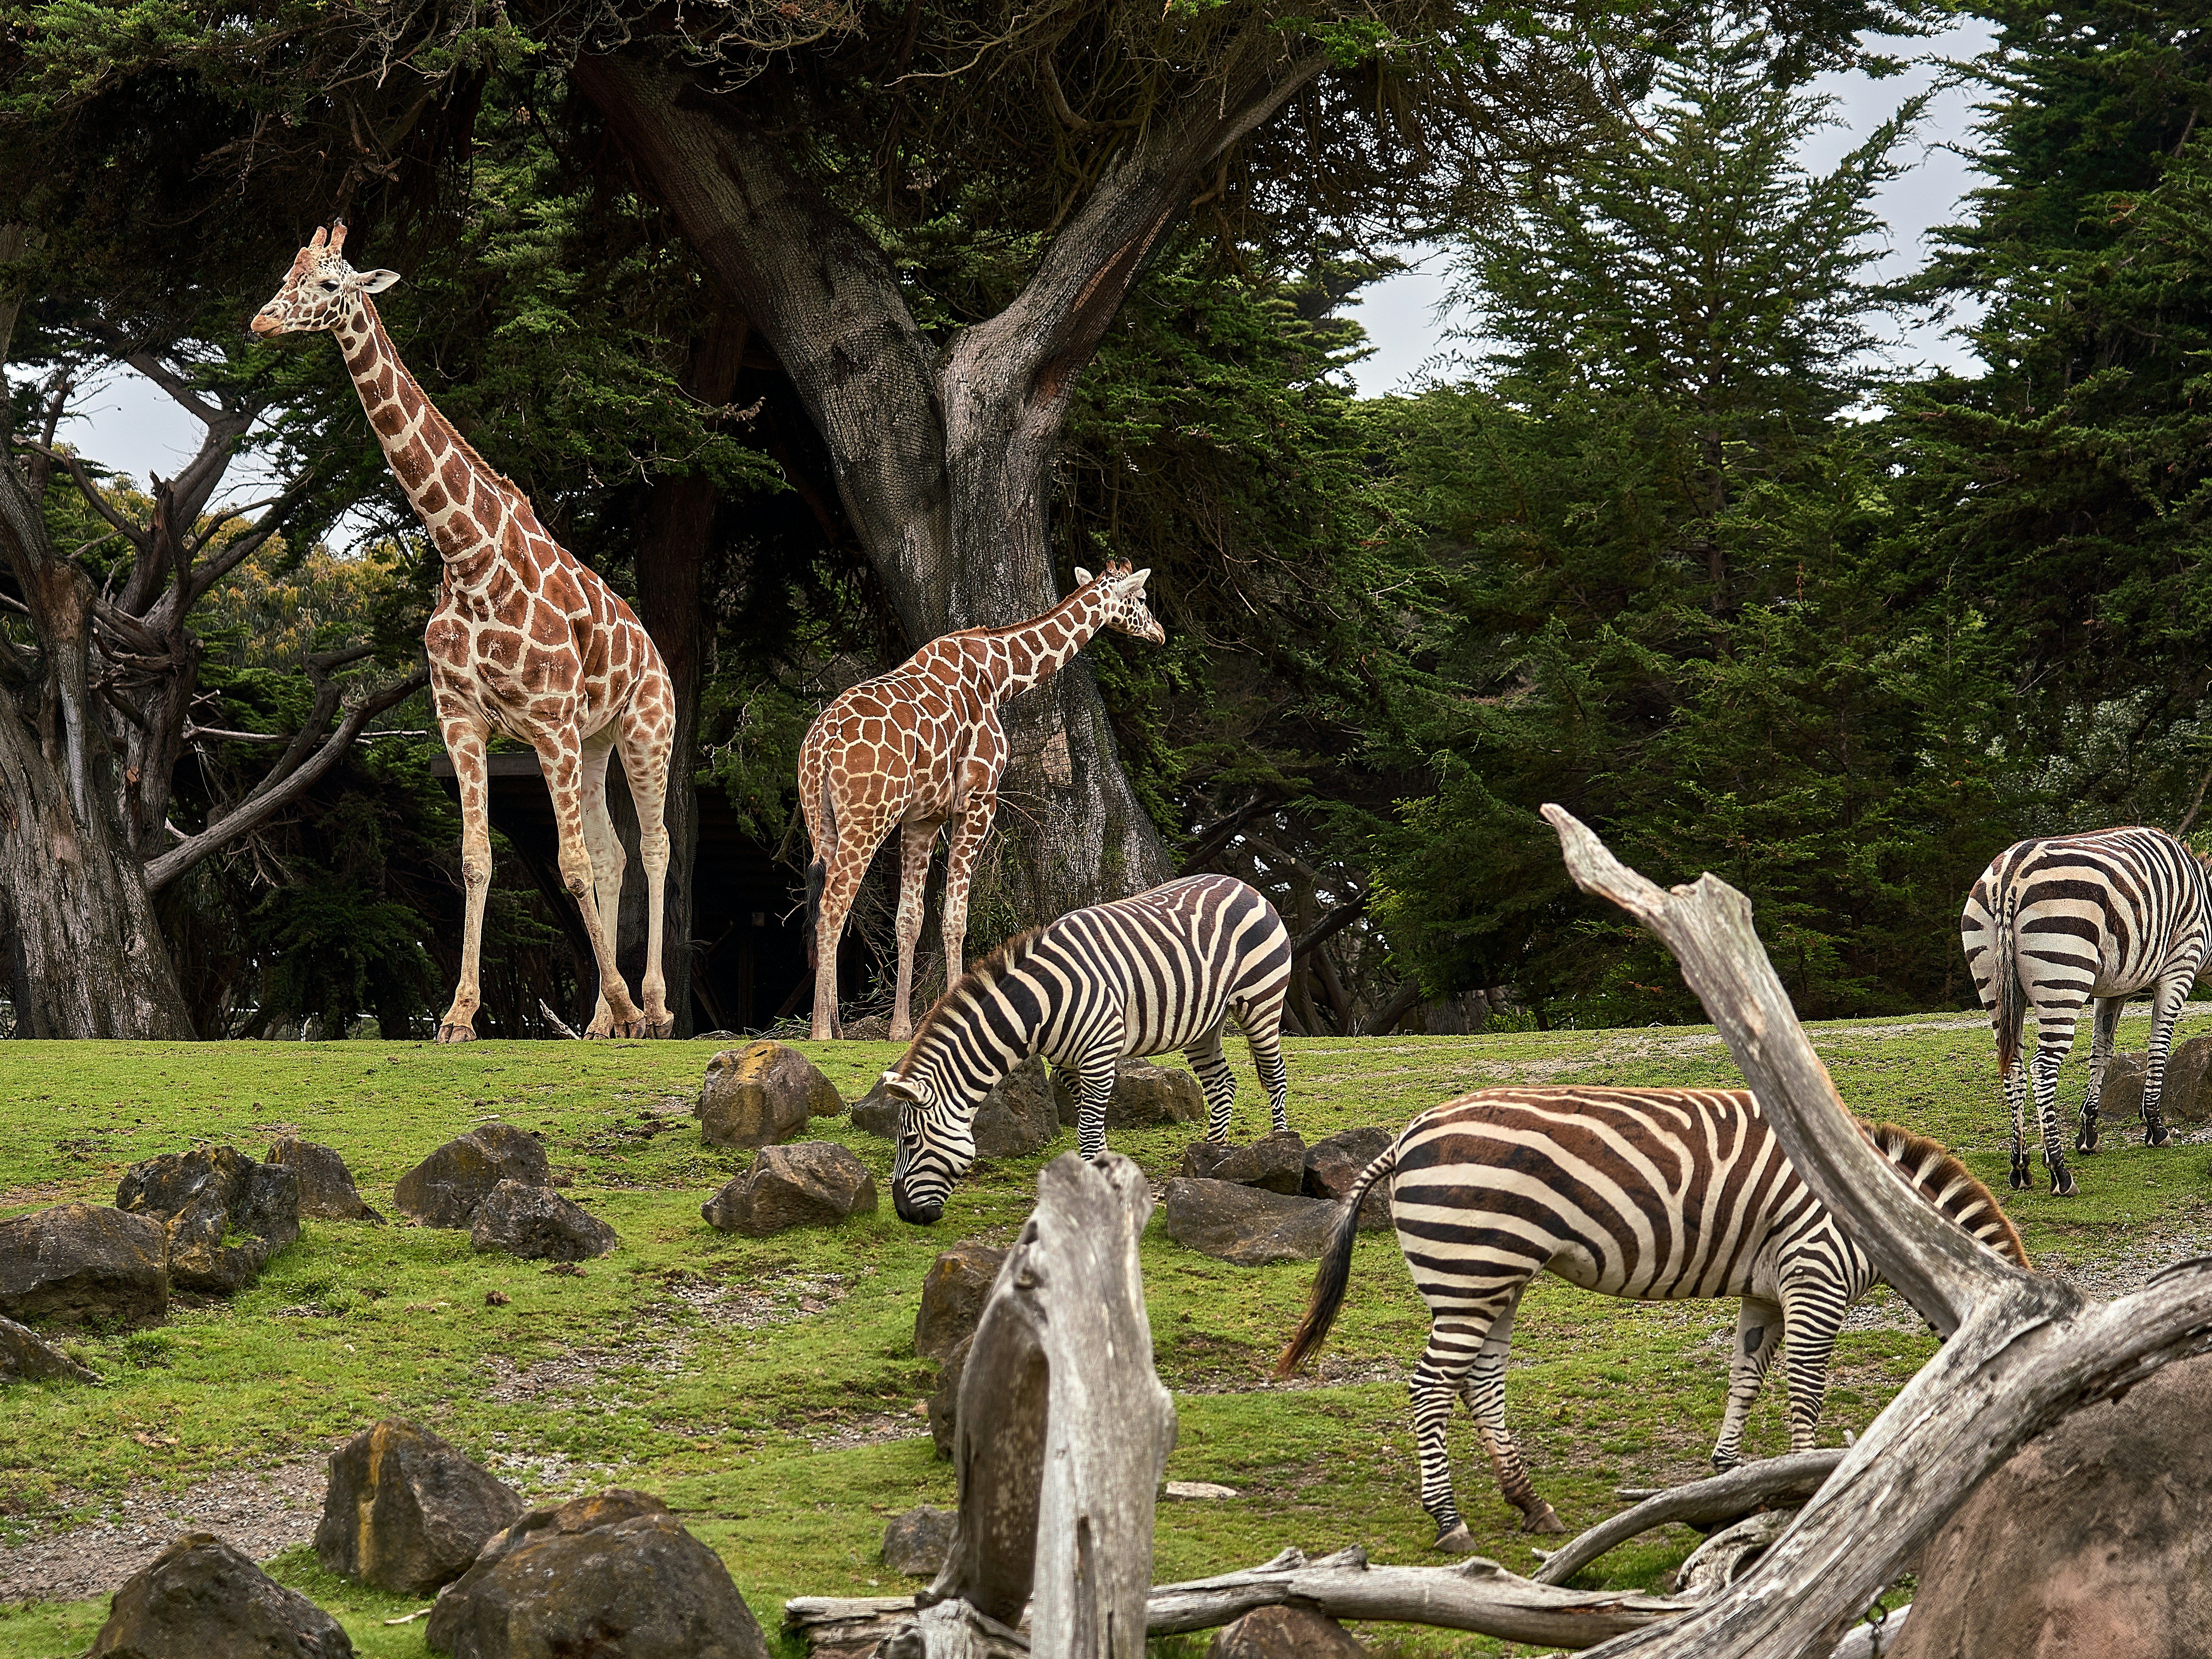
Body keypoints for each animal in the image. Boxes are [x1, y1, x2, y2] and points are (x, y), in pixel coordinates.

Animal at [250, 222, 677, 1042]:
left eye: (330, 284)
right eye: (287, 271)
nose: (261, 321)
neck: (467, 554)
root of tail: (654, 652)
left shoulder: (547, 723)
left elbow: (570, 864)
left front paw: (619, 1002)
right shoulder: (462, 717)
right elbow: (480, 858)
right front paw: (458, 1015)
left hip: (646, 728)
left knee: (653, 845)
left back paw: (653, 1006)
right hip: (597, 739)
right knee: (614, 852)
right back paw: (606, 1020)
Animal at [801, 562, 1165, 1041]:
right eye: (1139, 598)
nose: (1160, 633)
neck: (1000, 674)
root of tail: (821, 745)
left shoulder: (923, 818)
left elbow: (910, 919)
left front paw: (901, 1028)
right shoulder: (977, 800)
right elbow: (956, 917)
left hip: (821, 820)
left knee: (826, 904)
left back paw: (836, 1027)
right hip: (868, 818)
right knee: (832, 906)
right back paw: (820, 1033)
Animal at [879, 872, 1293, 1224]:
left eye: (910, 1140)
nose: (903, 1213)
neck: (1041, 1003)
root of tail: (1242, 884)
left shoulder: (1098, 1056)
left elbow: (1088, 1133)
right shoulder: (1067, 1064)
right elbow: (1090, 1124)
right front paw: (1104, 1179)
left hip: (1262, 1000)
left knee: (1274, 1074)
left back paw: (1278, 1147)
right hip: (1203, 1023)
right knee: (1222, 1084)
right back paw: (1209, 1160)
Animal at [1276, 1085, 2027, 1549]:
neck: (1882, 1214)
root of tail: (1407, 1136)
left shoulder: (1767, 1289)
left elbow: (1746, 1376)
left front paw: (1728, 1474)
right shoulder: (1815, 1276)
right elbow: (1805, 1389)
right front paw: (1808, 1484)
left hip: (1491, 1278)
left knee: (1479, 1383)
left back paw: (1530, 1503)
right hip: (1472, 1267)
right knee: (1432, 1387)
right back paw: (1449, 1519)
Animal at [1960, 825, 2211, 1196]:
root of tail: (2009, 877)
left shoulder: (2114, 988)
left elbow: (2101, 1052)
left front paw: (2089, 1132)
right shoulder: (2180, 966)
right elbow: (2159, 1048)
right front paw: (2155, 1127)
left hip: (1994, 986)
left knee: (2013, 1068)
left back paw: (2021, 1166)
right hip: (2063, 977)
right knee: (2042, 1069)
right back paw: (2060, 1172)